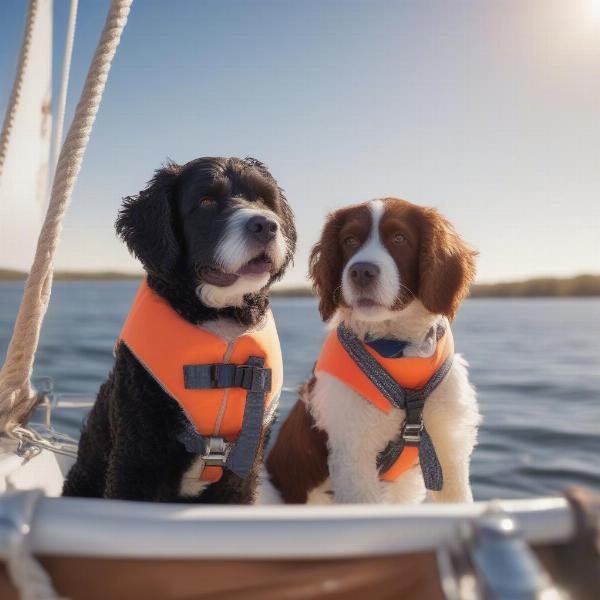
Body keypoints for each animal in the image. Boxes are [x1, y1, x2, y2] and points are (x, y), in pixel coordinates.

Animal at [62, 157, 296, 504]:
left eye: (264, 200)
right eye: (207, 201)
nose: (266, 225)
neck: (220, 315)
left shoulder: (242, 470)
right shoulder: (137, 457)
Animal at [260, 199, 480, 504]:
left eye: (399, 238)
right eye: (349, 240)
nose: (361, 271)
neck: (397, 346)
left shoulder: (450, 446)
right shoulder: (354, 456)